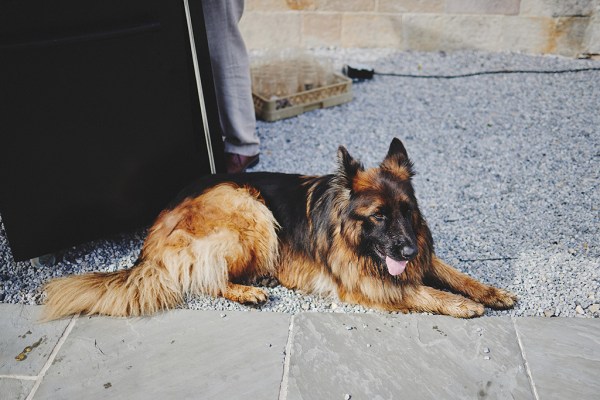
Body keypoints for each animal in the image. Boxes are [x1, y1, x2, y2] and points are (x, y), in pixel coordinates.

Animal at [45, 139, 516, 320]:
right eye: (378, 216)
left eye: (406, 211)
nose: (406, 252)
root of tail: (153, 232)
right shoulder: (365, 282)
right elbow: (420, 291)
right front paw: (462, 305)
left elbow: (455, 273)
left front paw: (490, 293)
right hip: (250, 207)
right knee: (205, 278)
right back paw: (248, 290)